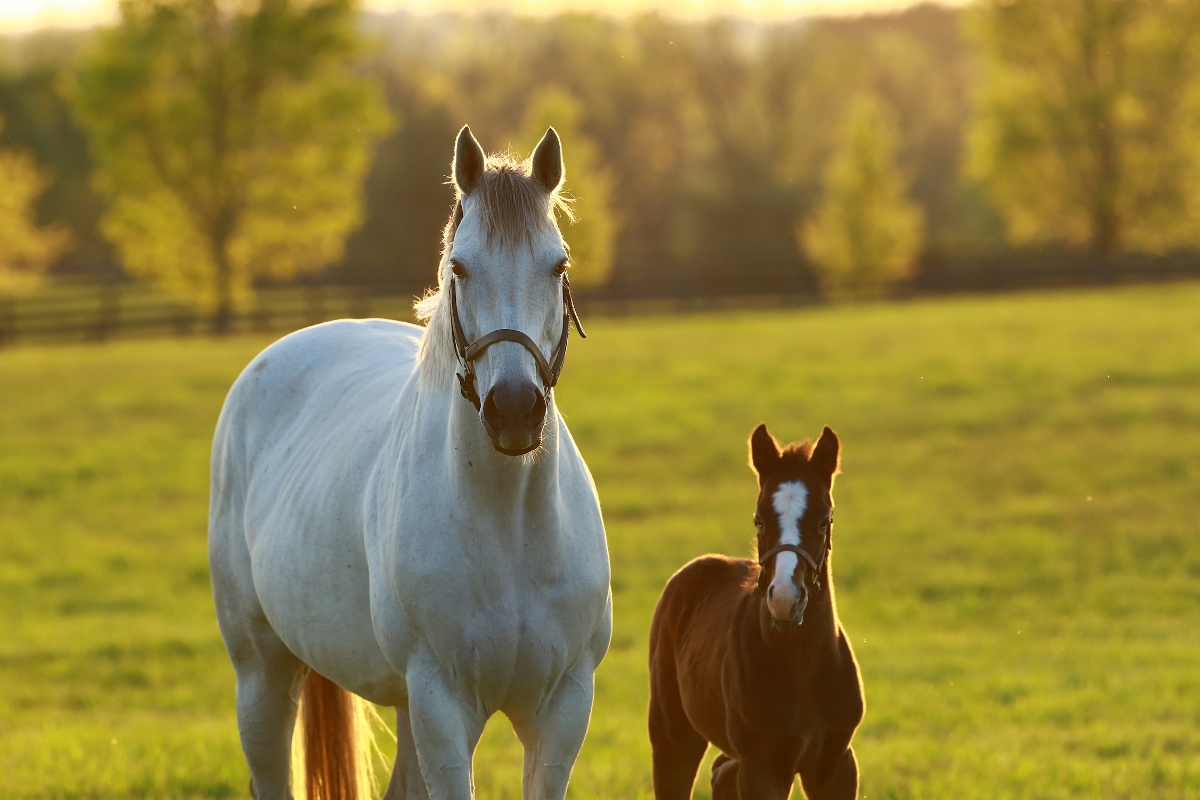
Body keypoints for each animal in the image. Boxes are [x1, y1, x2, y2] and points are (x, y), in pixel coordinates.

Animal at [209, 125, 612, 800]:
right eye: (459, 267)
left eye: (557, 265)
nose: (514, 409)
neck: (511, 526)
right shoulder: (441, 708)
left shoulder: (562, 710)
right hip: (262, 676)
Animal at [647, 424, 864, 800]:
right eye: (759, 521)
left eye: (824, 522)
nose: (785, 599)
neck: (802, 663)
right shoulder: (763, 764)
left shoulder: (836, 763)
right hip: (672, 735)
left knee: (721, 773)